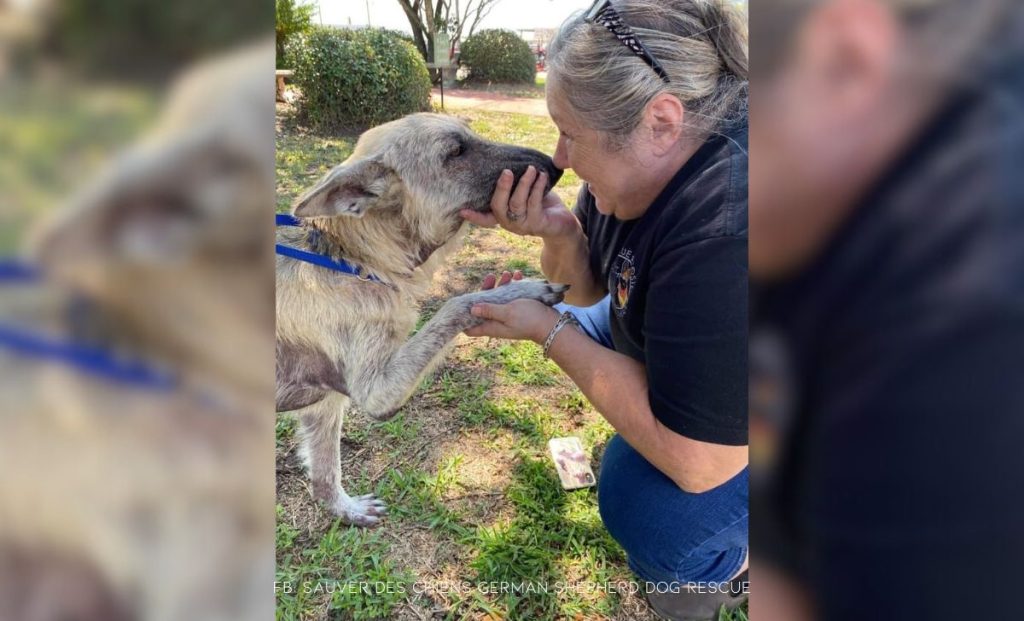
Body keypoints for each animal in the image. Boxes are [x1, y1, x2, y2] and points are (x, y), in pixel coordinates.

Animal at [276, 114, 569, 528]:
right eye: (456, 152)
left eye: (470, 134)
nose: (557, 166)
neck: (351, 258)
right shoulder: (377, 392)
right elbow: (457, 304)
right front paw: (520, 291)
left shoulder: (324, 406)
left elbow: (325, 475)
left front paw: (347, 511)